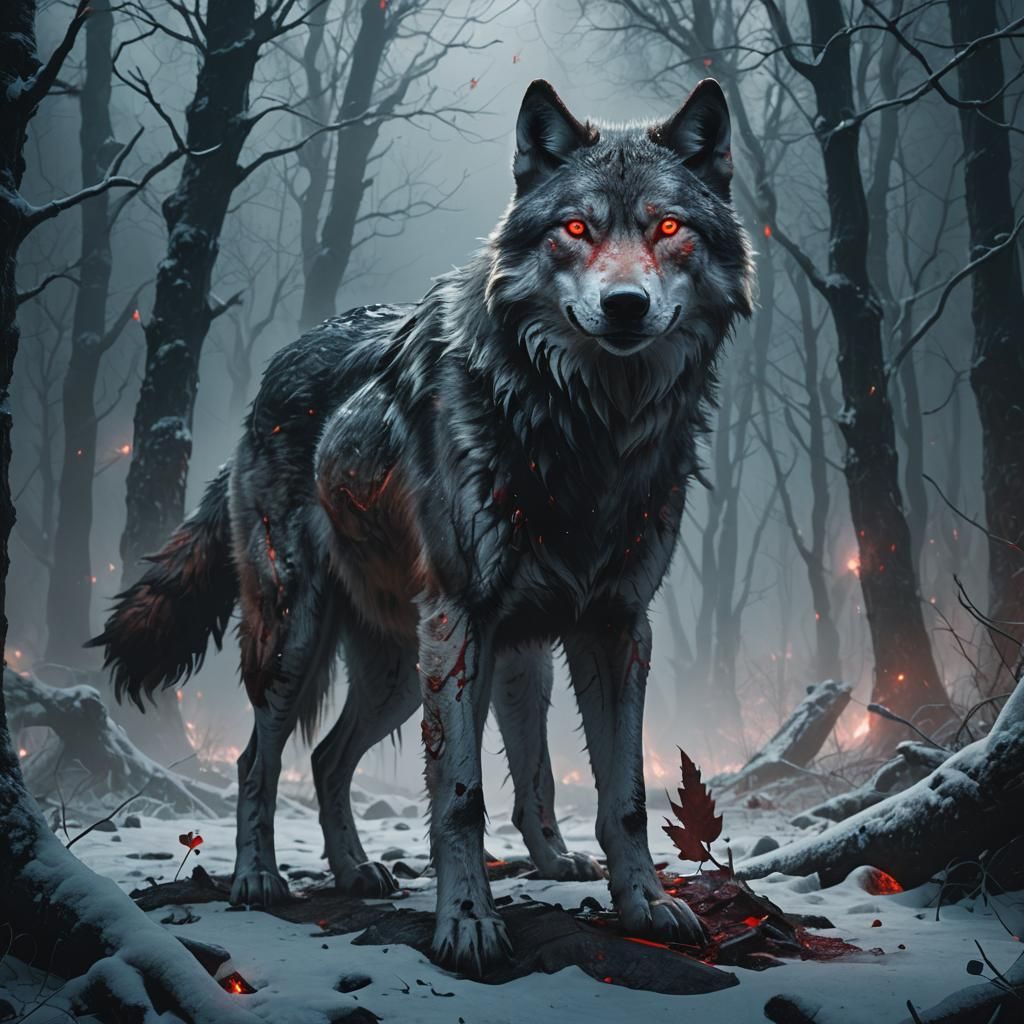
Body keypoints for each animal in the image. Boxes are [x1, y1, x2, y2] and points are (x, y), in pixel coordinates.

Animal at [91, 78, 753, 976]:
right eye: (576, 229)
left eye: (669, 228)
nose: (624, 306)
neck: (587, 433)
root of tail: (271, 377)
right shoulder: (463, 622)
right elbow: (462, 800)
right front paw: (467, 925)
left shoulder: (615, 626)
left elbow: (622, 797)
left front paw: (645, 907)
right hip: (307, 643)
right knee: (258, 758)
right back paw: (258, 879)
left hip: (404, 672)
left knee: (328, 758)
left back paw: (357, 870)